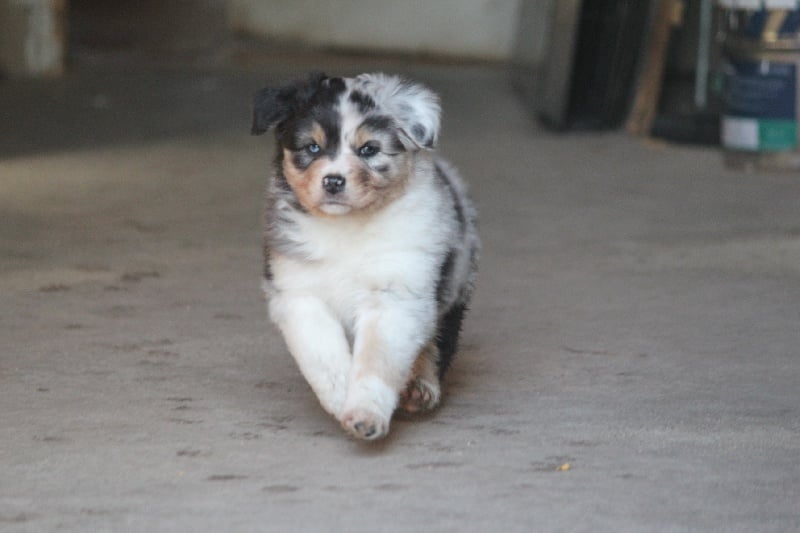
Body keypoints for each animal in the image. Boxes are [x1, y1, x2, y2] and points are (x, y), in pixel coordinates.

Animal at [252, 72, 479, 440]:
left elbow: (377, 358)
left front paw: (365, 416)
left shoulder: (396, 293)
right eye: (312, 147)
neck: (347, 228)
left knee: (438, 339)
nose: (333, 181)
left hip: (454, 286)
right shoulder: (299, 292)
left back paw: (422, 386)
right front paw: (341, 397)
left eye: (369, 149)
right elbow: (322, 353)